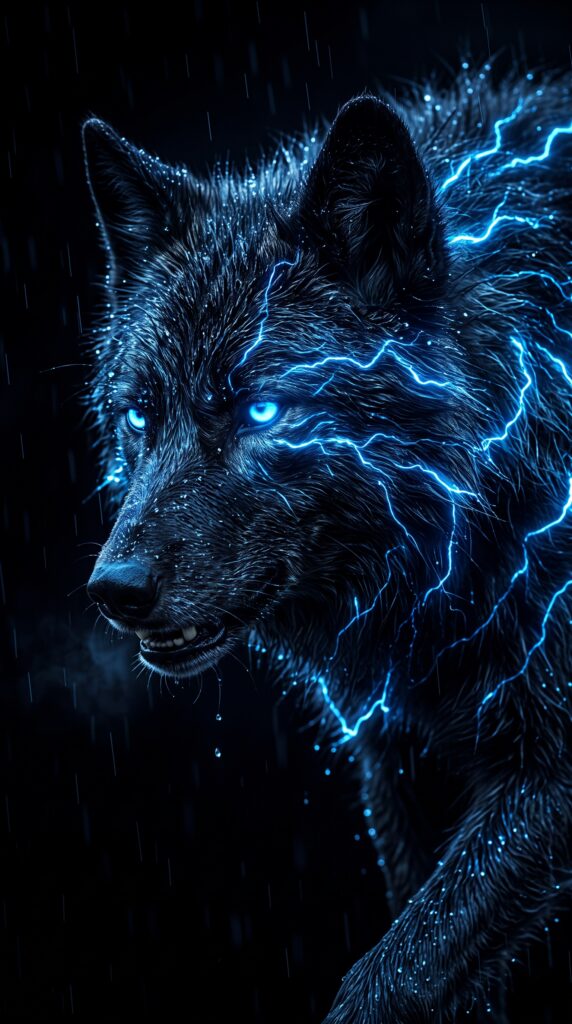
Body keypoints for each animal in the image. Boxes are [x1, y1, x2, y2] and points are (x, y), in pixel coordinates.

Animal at [83, 60, 572, 1022]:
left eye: (263, 410)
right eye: (139, 416)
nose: (114, 589)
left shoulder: (547, 769)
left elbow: (396, 976)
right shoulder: (399, 756)